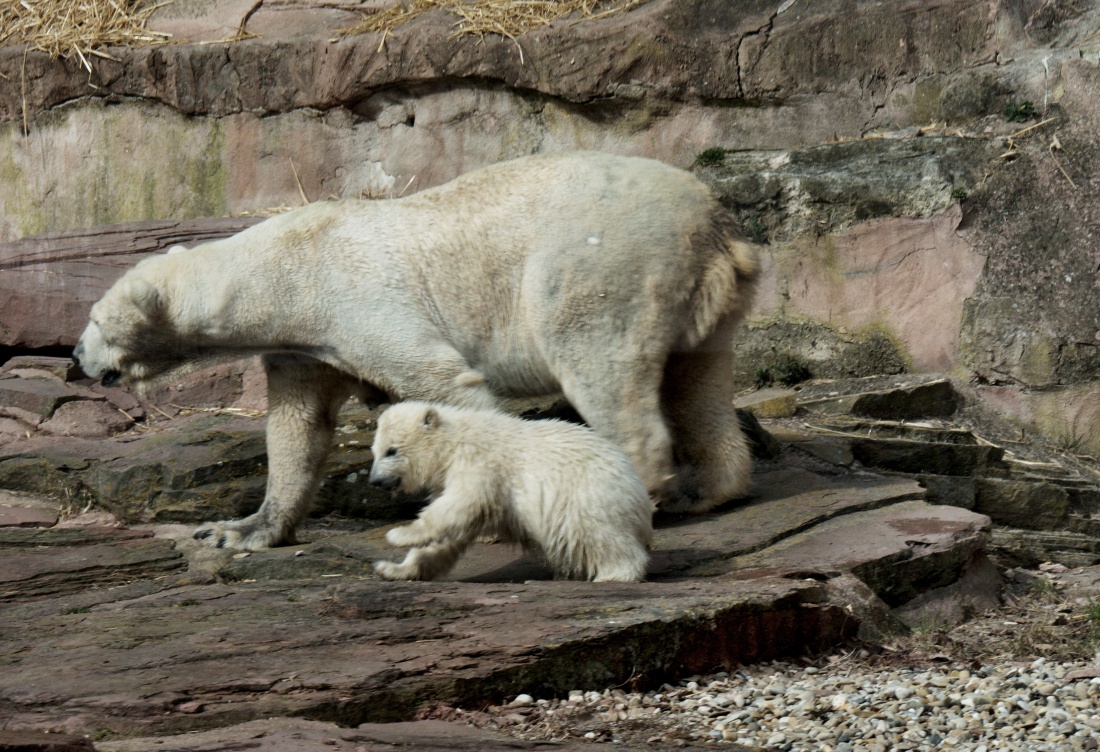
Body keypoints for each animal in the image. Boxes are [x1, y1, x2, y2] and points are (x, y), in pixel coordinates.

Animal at [73, 149, 761, 549]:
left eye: (94, 319)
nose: (75, 359)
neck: (281, 271)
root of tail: (716, 222)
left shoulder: (358, 303)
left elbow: (447, 385)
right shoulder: (305, 347)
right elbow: (297, 430)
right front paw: (237, 531)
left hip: (601, 263)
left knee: (600, 364)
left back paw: (638, 493)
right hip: (704, 296)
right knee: (698, 379)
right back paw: (711, 488)